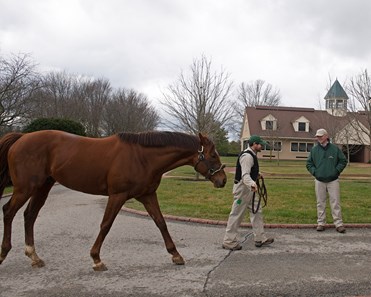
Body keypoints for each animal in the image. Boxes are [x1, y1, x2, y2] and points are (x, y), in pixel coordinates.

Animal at [0, 128, 227, 270]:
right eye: (213, 155)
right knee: (9, 212)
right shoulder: (118, 196)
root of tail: (21, 138)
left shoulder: (147, 195)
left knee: (30, 215)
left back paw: (34, 256)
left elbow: (161, 223)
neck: (143, 157)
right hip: (25, 188)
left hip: (42, 187)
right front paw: (96, 259)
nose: (223, 180)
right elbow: (106, 225)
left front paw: (176, 254)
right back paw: (4, 253)